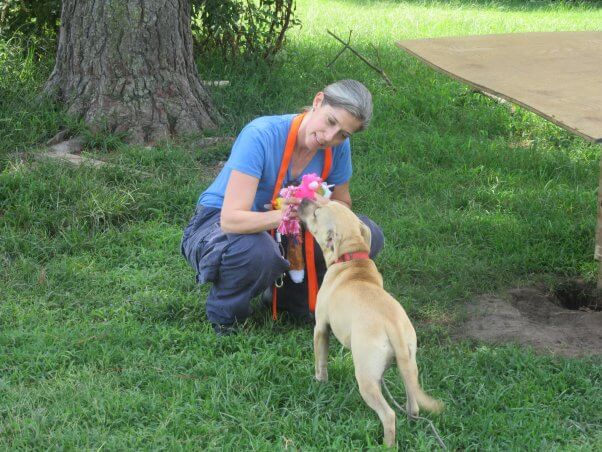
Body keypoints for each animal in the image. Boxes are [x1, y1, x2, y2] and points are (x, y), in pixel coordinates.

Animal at [298, 200, 442, 446]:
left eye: (316, 213)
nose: (304, 201)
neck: (351, 259)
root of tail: (393, 326)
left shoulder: (320, 328)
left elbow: (321, 360)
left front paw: (320, 382)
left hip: (365, 378)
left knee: (388, 415)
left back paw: (387, 445)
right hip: (409, 365)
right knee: (413, 403)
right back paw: (411, 421)